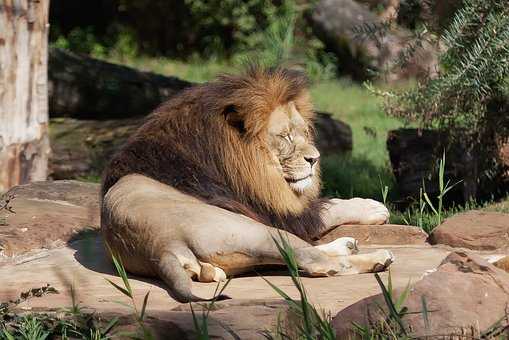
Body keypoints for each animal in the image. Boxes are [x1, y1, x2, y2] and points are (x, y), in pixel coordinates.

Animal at [100, 67, 392, 302]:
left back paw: (347, 245)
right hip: (256, 230)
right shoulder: (272, 211)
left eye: (304, 132)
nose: (315, 158)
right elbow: (326, 209)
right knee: (316, 261)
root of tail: (161, 245)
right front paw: (373, 208)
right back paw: (377, 258)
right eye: (285, 136)